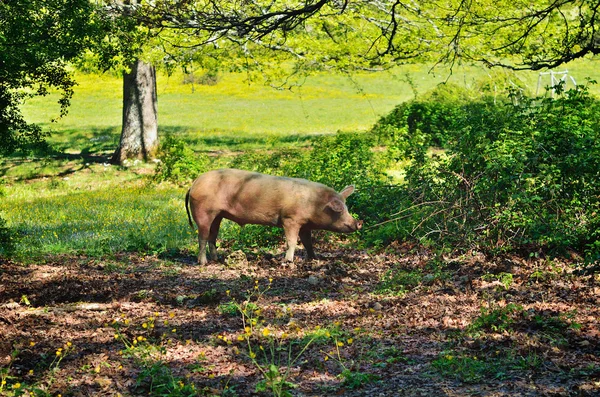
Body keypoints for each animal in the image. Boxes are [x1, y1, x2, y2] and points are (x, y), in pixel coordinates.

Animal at [184, 167, 360, 262]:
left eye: (347, 207)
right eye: (339, 210)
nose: (359, 222)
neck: (314, 203)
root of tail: (193, 184)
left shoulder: (304, 225)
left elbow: (308, 242)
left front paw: (314, 258)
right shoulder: (290, 220)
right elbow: (291, 242)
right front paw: (288, 261)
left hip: (218, 215)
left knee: (213, 236)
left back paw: (217, 259)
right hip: (203, 212)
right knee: (202, 236)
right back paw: (203, 262)